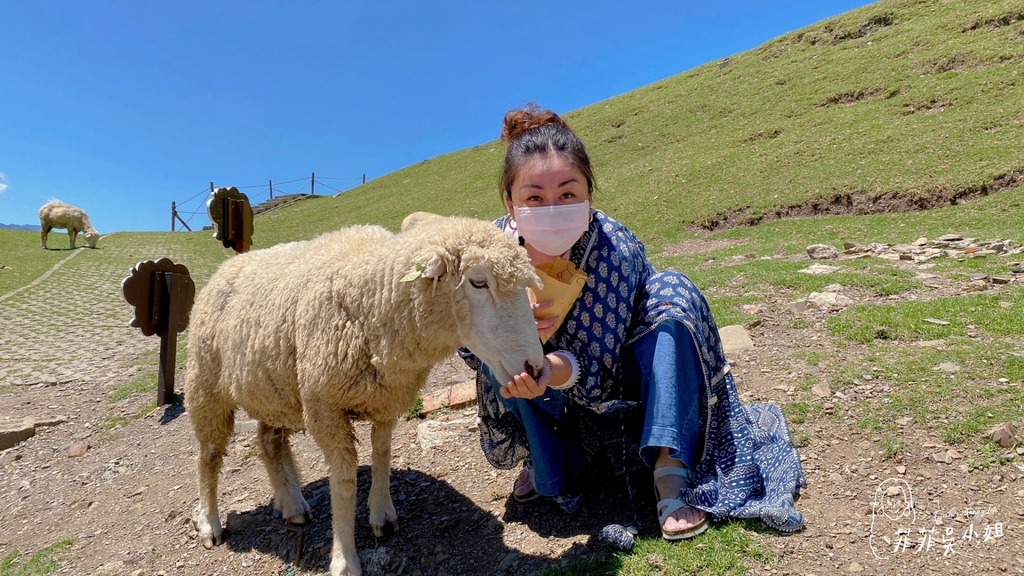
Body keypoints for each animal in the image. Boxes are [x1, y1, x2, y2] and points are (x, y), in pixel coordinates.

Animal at [187, 214, 548, 573]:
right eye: (478, 282)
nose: (533, 366)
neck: (373, 304)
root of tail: (225, 268)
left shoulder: (387, 397)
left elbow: (382, 455)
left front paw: (381, 514)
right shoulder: (324, 407)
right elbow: (345, 481)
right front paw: (344, 558)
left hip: (275, 391)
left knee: (268, 442)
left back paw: (291, 504)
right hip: (206, 384)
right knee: (208, 454)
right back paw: (209, 522)